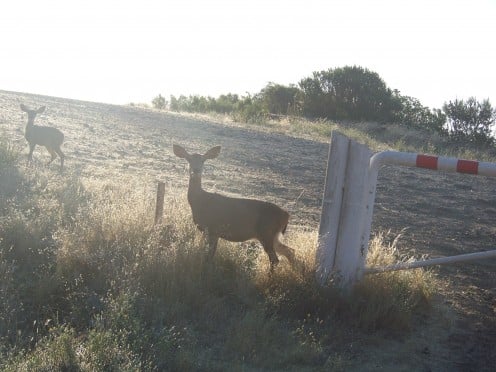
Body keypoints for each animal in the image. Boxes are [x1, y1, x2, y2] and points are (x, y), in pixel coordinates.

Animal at [172, 144, 294, 272]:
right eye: (189, 159)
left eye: (203, 160)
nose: (196, 170)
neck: (200, 202)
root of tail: (286, 215)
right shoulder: (211, 231)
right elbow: (208, 255)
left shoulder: (212, 229)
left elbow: (209, 256)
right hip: (272, 235)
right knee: (290, 251)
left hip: (266, 232)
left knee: (275, 259)